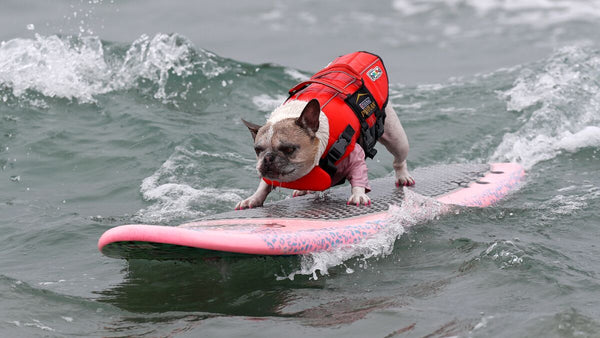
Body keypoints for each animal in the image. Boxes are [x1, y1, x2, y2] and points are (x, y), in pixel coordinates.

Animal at [233, 51, 412, 210]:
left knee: (399, 158)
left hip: (395, 136)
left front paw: (358, 195)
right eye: (258, 150)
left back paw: (403, 177)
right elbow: (264, 183)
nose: (268, 158)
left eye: (289, 149)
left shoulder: (355, 155)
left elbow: (359, 174)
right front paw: (254, 198)